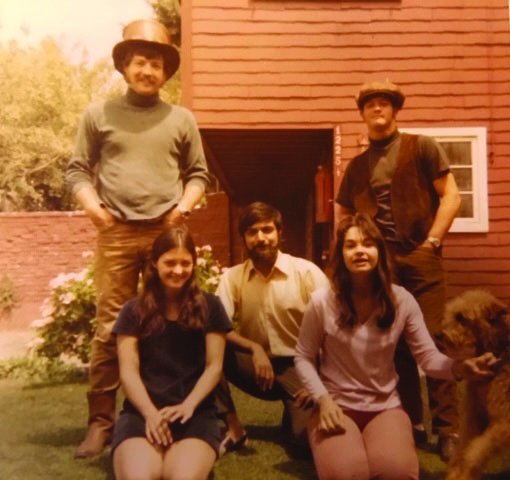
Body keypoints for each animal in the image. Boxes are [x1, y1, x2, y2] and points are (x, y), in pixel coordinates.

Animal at [438, 288, 510, 480]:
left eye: (461, 317)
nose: (439, 334)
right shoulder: (475, 414)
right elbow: (464, 448)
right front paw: (454, 473)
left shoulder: (503, 423)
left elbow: (476, 452)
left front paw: (464, 474)